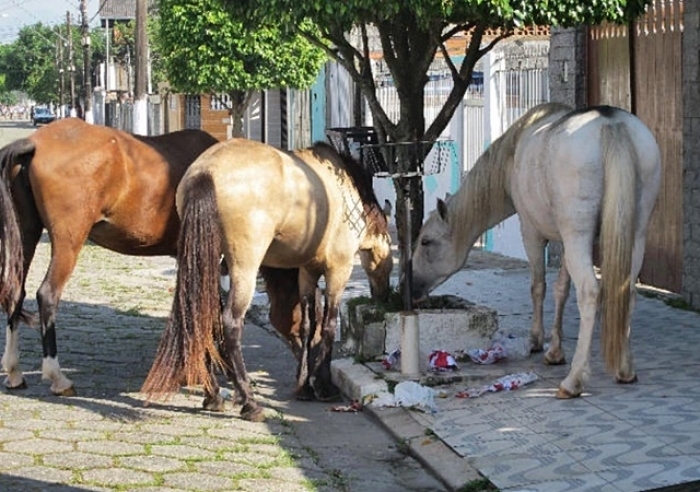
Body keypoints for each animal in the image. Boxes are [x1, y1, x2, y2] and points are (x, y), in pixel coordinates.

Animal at [0, 118, 219, 396]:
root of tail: (34, 143)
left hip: (26, 233)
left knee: (16, 293)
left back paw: (14, 372)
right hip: (68, 241)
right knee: (47, 294)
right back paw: (57, 377)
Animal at [142, 137, 394, 418]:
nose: (384, 295)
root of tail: (205, 173)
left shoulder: (307, 271)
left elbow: (308, 326)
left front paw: (305, 386)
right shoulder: (338, 269)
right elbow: (328, 325)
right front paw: (324, 386)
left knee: (201, 319)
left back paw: (214, 396)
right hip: (244, 268)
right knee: (230, 323)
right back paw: (249, 401)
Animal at [410, 102, 660, 398]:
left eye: (426, 241)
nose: (410, 287)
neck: (513, 153)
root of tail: (611, 123)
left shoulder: (533, 233)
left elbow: (538, 286)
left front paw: (537, 340)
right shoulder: (568, 241)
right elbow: (561, 289)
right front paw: (555, 351)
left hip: (579, 236)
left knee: (590, 292)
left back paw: (573, 381)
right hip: (634, 235)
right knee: (627, 291)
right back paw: (625, 369)